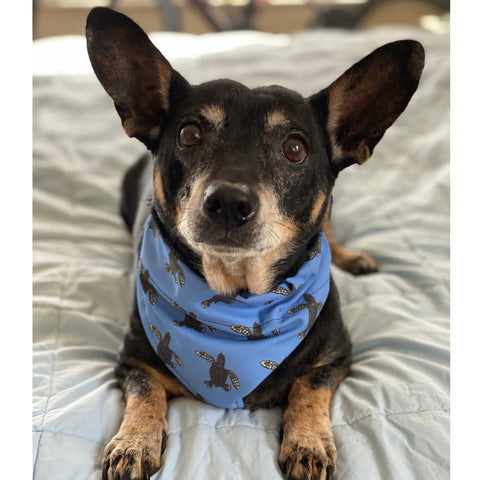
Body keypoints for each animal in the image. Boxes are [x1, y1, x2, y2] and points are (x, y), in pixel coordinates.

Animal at [87, 8, 424, 480]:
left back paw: (352, 256)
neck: (238, 295)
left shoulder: (337, 357)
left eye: (295, 148)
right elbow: (145, 394)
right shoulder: (132, 361)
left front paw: (308, 442)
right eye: (189, 134)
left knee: (331, 227)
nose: (228, 203)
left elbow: (308, 388)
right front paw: (133, 442)